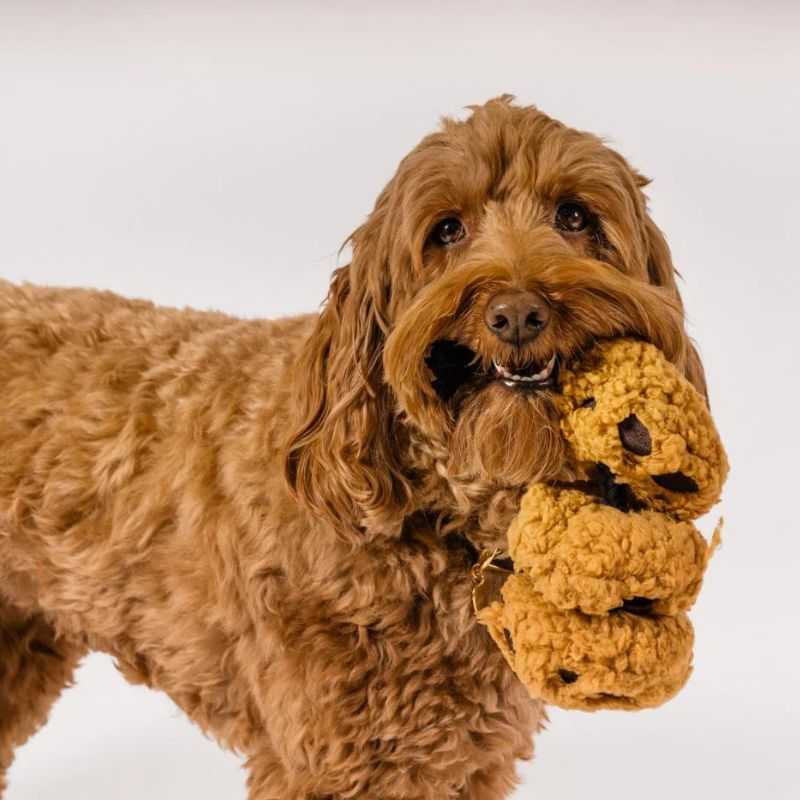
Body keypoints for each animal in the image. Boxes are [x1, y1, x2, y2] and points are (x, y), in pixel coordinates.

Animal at [0, 97, 704, 796]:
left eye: (574, 216)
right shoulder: (333, 760)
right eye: (447, 231)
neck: (432, 514)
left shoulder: (466, 759)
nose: (517, 313)